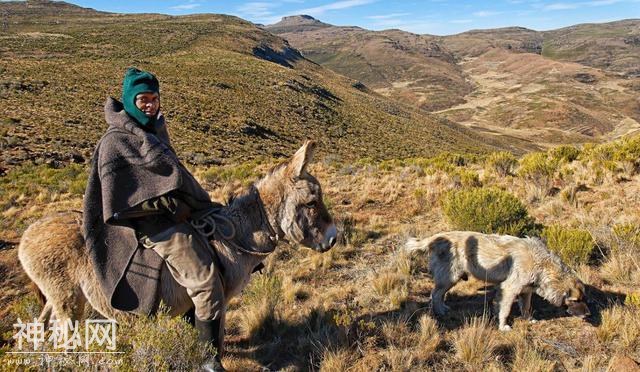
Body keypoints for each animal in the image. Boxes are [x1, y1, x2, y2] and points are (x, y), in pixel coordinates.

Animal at [404, 231, 592, 330]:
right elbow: (505, 309)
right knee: (435, 294)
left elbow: (526, 307)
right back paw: (440, 311)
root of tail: (436, 237)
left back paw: (443, 308)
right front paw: (503, 326)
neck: (542, 264)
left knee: (439, 294)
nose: (589, 314)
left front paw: (528, 319)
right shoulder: (509, 289)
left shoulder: (526, 291)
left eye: (584, 299)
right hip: (450, 277)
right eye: (575, 300)